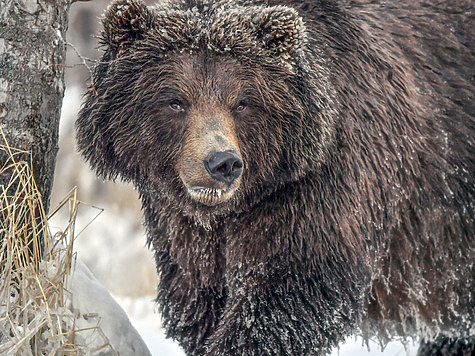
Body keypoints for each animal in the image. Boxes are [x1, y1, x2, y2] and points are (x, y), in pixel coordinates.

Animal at [76, 0, 474, 356]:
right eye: (176, 101)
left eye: (242, 102)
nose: (222, 163)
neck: (235, 207)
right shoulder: (183, 227)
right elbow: (199, 297)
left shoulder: (316, 188)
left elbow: (287, 294)